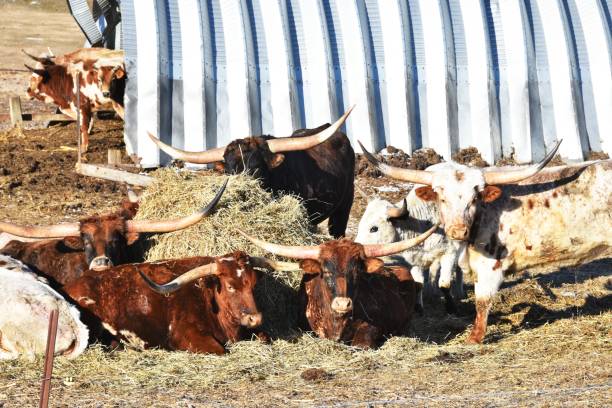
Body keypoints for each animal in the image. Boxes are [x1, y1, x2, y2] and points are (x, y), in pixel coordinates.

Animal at [360, 139, 612, 342]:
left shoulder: (490, 265)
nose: (457, 231)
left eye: (474, 198)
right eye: (441, 197)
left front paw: (474, 338)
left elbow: (482, 301)